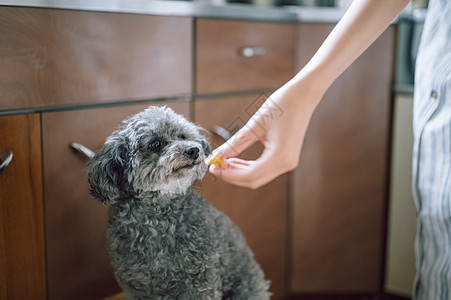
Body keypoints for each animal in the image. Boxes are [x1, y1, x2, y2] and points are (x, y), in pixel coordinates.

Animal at [88, 106, 272, 300]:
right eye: (155, 144)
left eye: (182, 136)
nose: (194, 150)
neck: (158, 219)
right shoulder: (138, 286)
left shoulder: (201, 280)